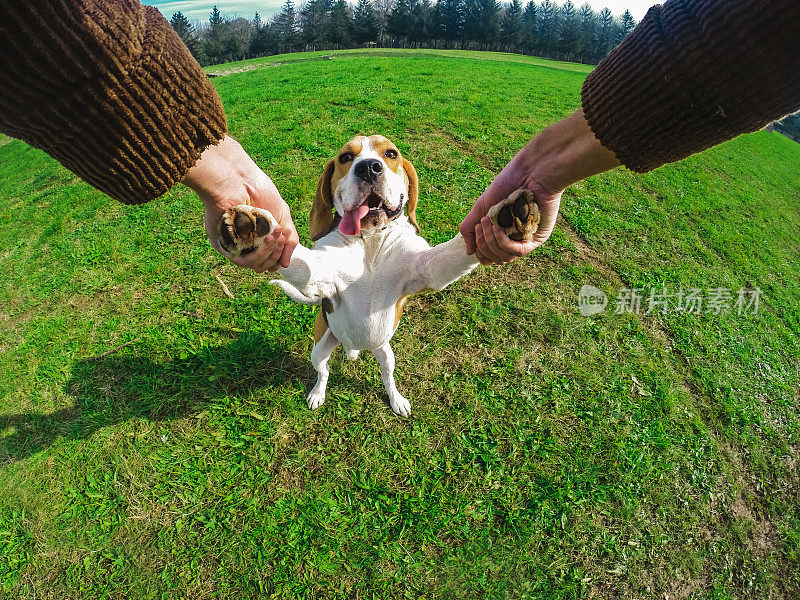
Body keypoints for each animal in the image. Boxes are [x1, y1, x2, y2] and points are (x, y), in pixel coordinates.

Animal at [217, 136, 536, 418]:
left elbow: (456, 250)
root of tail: (355, 347)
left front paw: (507, 217)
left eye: (391, 154)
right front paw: (255, 232)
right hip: (320, 348)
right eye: (346, 157)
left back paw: (396, 400)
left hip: (386, 353)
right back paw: (318, 393)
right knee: (324, 372)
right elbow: (300, 262)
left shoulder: (427, 268)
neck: (370, 242)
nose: (369, 167)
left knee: (387, 377)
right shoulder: (321, 274)